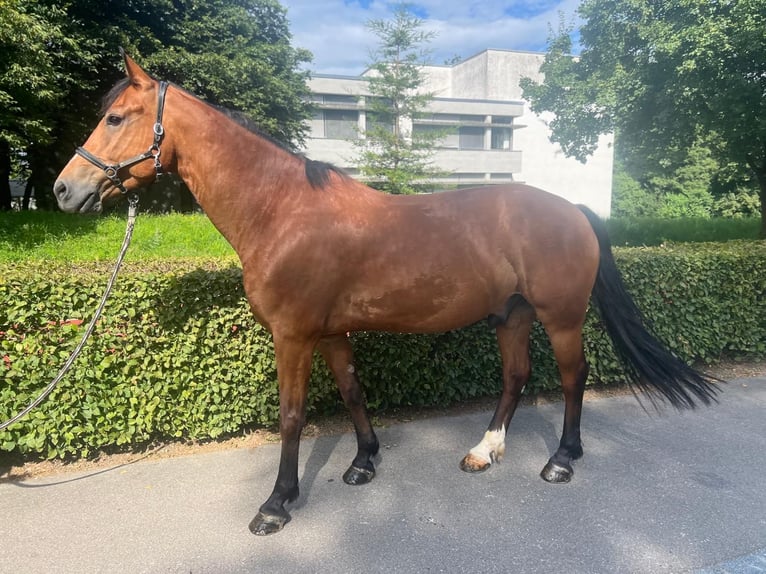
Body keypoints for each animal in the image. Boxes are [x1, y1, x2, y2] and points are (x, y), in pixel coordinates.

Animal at [54, 54, 720, 536]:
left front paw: (277, 503)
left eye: (116, 118)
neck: (283, 211)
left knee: (572, 378)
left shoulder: (294, 335)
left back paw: (560, 460)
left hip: (561, 319)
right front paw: (363, 462)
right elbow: (352, 392)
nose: (64, 189)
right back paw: (484, 451)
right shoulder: (330, 332)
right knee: (514, 377)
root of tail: (574, 209)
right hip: (511, 315)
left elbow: (293, 416)